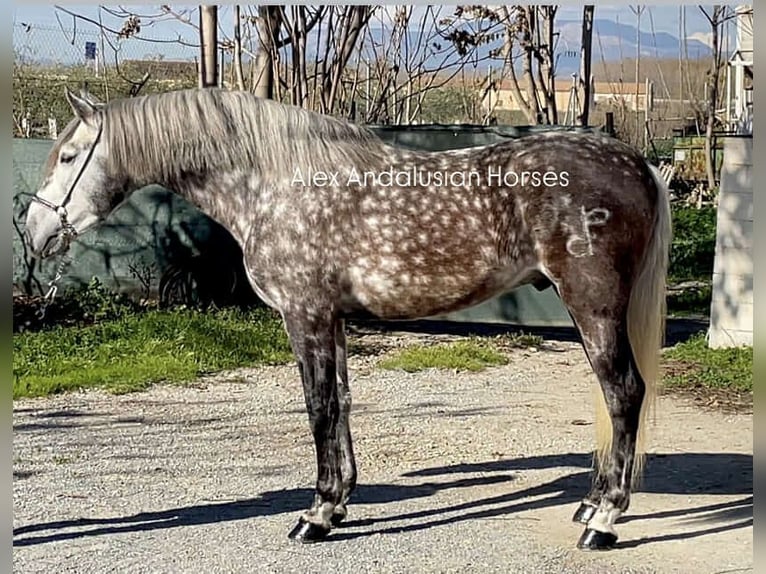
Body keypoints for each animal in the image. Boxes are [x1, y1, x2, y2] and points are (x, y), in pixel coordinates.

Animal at [24, 88, 672, 552]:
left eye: (69, 156)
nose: (35, 231)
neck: (273, 186)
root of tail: (636, 163)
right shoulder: (332, 320)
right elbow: (342, 402)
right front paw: (337, 505)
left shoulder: (305, 316)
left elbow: (319, 408)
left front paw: (314, 515)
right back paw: (590, 503)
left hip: (593, 304)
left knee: (623, 393)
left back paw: (604, 521)